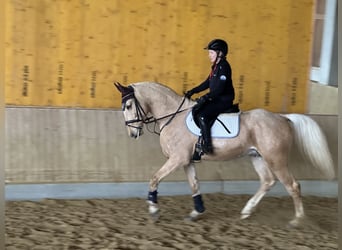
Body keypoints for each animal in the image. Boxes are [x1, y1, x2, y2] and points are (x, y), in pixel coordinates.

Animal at [114, 81, 334, 226]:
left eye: (129, 106)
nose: (133, 134)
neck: (173, 116)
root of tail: (283, 118)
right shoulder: (186, 161)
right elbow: (194, 185)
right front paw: (197, 212)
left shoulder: (177, 159)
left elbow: (154, 178)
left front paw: (153, 209)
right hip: (258, 157)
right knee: (267, 181)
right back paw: (246, 211)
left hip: (276, 159)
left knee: (293, 186)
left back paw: (297, 220)